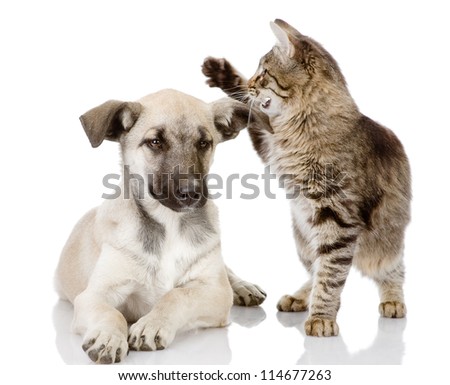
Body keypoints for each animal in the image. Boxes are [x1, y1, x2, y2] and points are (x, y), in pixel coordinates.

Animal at [56, 88, 268, 362]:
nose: (191, 192)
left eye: (204, 143)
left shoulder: (216, 293)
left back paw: (243, 286)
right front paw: (109, 337)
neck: (170, 225)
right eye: (155, 142)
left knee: (225, 271)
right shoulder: (94, 294)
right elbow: (111, 313)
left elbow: (177, 295)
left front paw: (152, 324)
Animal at [203, 19, 412, 334]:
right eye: (255, 73)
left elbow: (330, 278)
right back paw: (299, 298)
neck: (298, 126)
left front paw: (322, 319)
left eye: (263, 73)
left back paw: (392, 300)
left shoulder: (338, 218)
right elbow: (325, 274)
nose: (251, 83)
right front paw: (222, 73)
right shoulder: (267, 142)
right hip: (303, 236)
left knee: (390, 269)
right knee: (316, 270)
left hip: (382, 241)